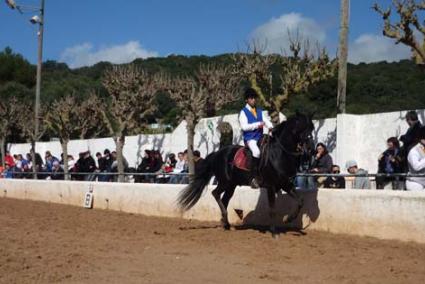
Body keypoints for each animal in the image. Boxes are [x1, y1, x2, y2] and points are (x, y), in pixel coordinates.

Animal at [177, 112, 314, 235]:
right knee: (215, 194)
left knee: (224, 200)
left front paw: (288, 219)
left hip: (231, 185)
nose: (310, 149)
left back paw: (226, 223)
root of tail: (218, 153)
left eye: (311, 128)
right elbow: (272, 209)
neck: (280, 154)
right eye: (302, 128)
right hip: (225, 182)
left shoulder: (286, 184)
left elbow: (300, 201)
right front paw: (274, 232)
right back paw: (225, 219)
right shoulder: (271, 186)